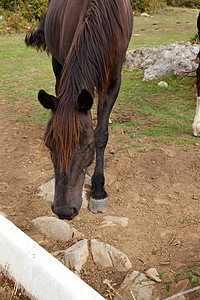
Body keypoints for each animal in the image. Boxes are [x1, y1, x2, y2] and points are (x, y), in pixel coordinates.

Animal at [25, 0, 134, 220]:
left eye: (87, 146)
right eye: (49, 145)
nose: (63, 210)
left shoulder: (113, 81)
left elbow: (101, 134)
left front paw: (98, 191)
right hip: (57, 62)